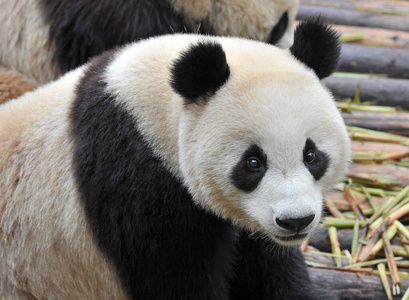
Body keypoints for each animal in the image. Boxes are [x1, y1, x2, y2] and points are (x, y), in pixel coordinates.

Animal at [0, 19, 348, 300]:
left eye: (311, 155)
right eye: (253, 163)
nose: (296, 221)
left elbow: (269, 267)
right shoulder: (135, 185)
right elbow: (175, 281)